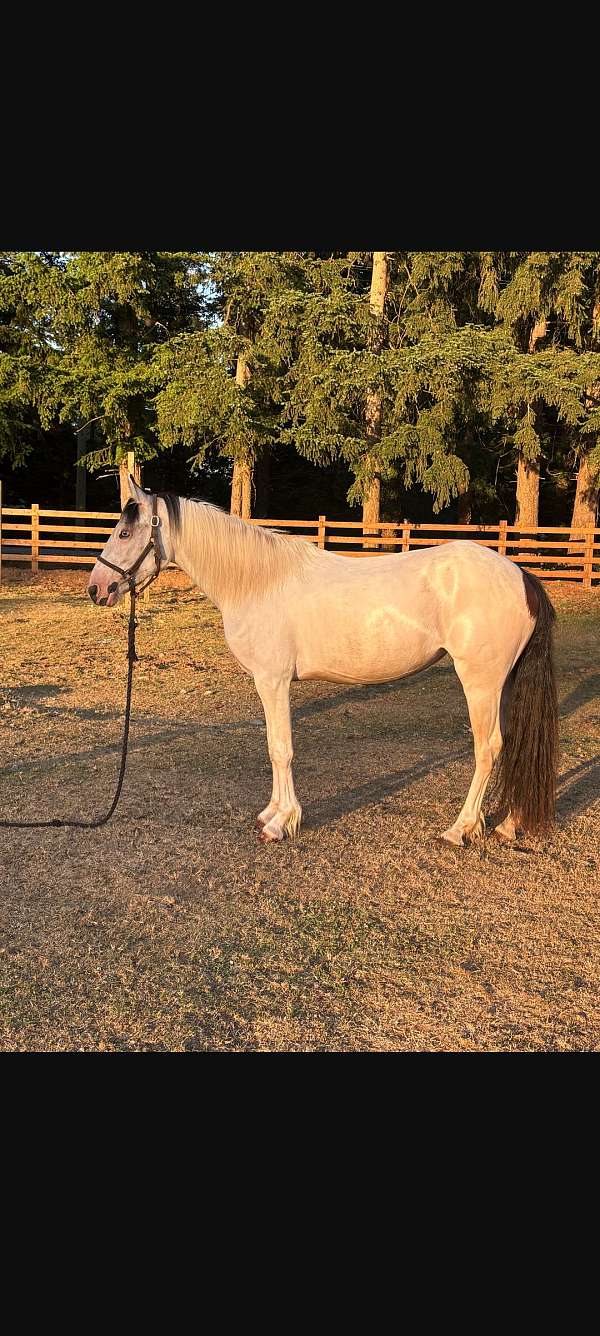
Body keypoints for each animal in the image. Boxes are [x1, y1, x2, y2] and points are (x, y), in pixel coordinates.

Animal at [88, 476, 558, 848]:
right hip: (502, 683)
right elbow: (274, 746)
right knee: (515, 744)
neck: (257, 583)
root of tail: (521, 576)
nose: (97, 588)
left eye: (124, 533)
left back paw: (461, 828)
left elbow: (280, 748)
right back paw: (509, 825)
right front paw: (271, 812)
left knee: (487, 748)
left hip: (480, 683)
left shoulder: (273, 680)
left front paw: (280, 823)